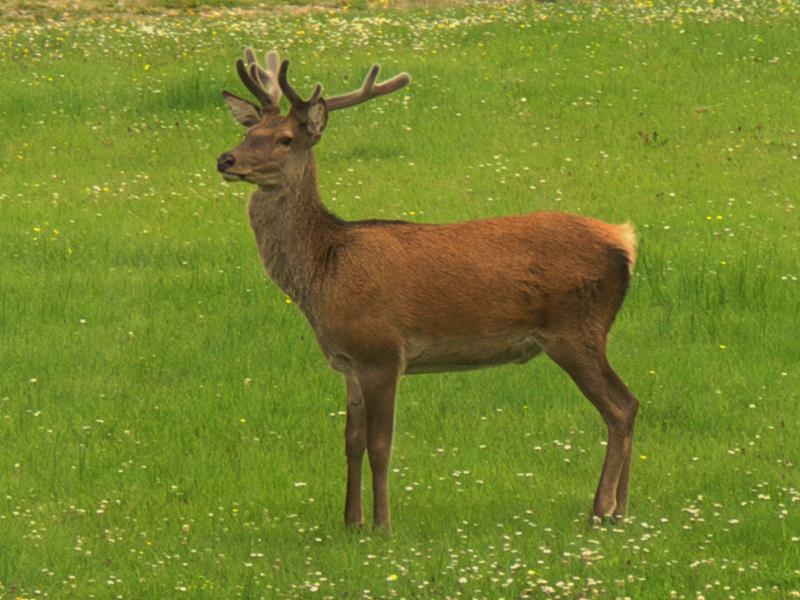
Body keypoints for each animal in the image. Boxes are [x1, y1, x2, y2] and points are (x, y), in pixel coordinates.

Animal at [216, 48, 640, 532]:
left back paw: (601, 509)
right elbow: (351, 441)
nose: (226, 160)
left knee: (620, 407)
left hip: (576, 330)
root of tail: (625, 241)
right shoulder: (348, 362)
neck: (323, 272)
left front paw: (382, 526)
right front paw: (350, 522)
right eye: (248, 131)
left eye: (285, 138)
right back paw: (621, 510)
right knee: (630, 405)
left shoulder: (382, 352)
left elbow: (381, 445)